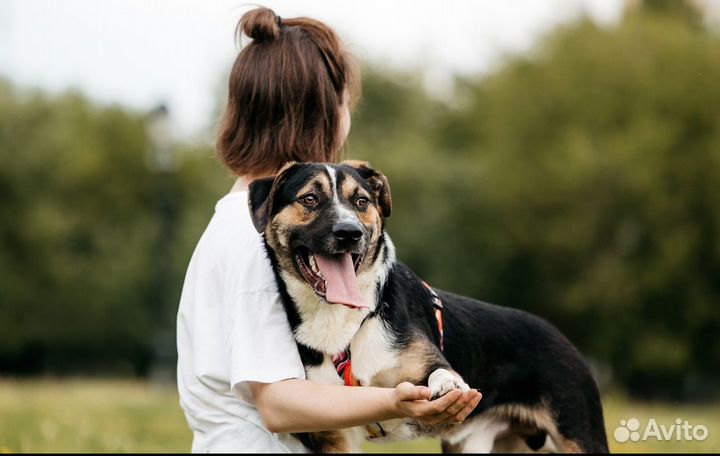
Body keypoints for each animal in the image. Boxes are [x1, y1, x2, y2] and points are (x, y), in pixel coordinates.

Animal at [248, 160, 608, 452]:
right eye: (310, 198)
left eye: (361, 201)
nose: (349, 233)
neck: (345, 322)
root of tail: (563, 338)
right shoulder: (332, 433)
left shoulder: (428, 363)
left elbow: (441, 372)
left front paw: (447, 384)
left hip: (579, 434)